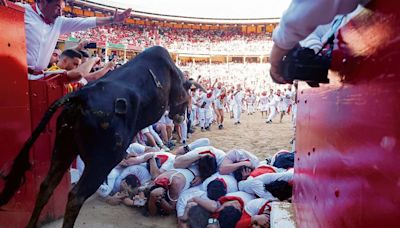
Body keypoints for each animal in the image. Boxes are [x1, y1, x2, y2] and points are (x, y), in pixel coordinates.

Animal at [0, 45, 205, 226]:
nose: (179, 116)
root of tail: (80, 96)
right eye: (186, 97)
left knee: (46, 186)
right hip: (102, 161)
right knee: (76, 196)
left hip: (63, 148)